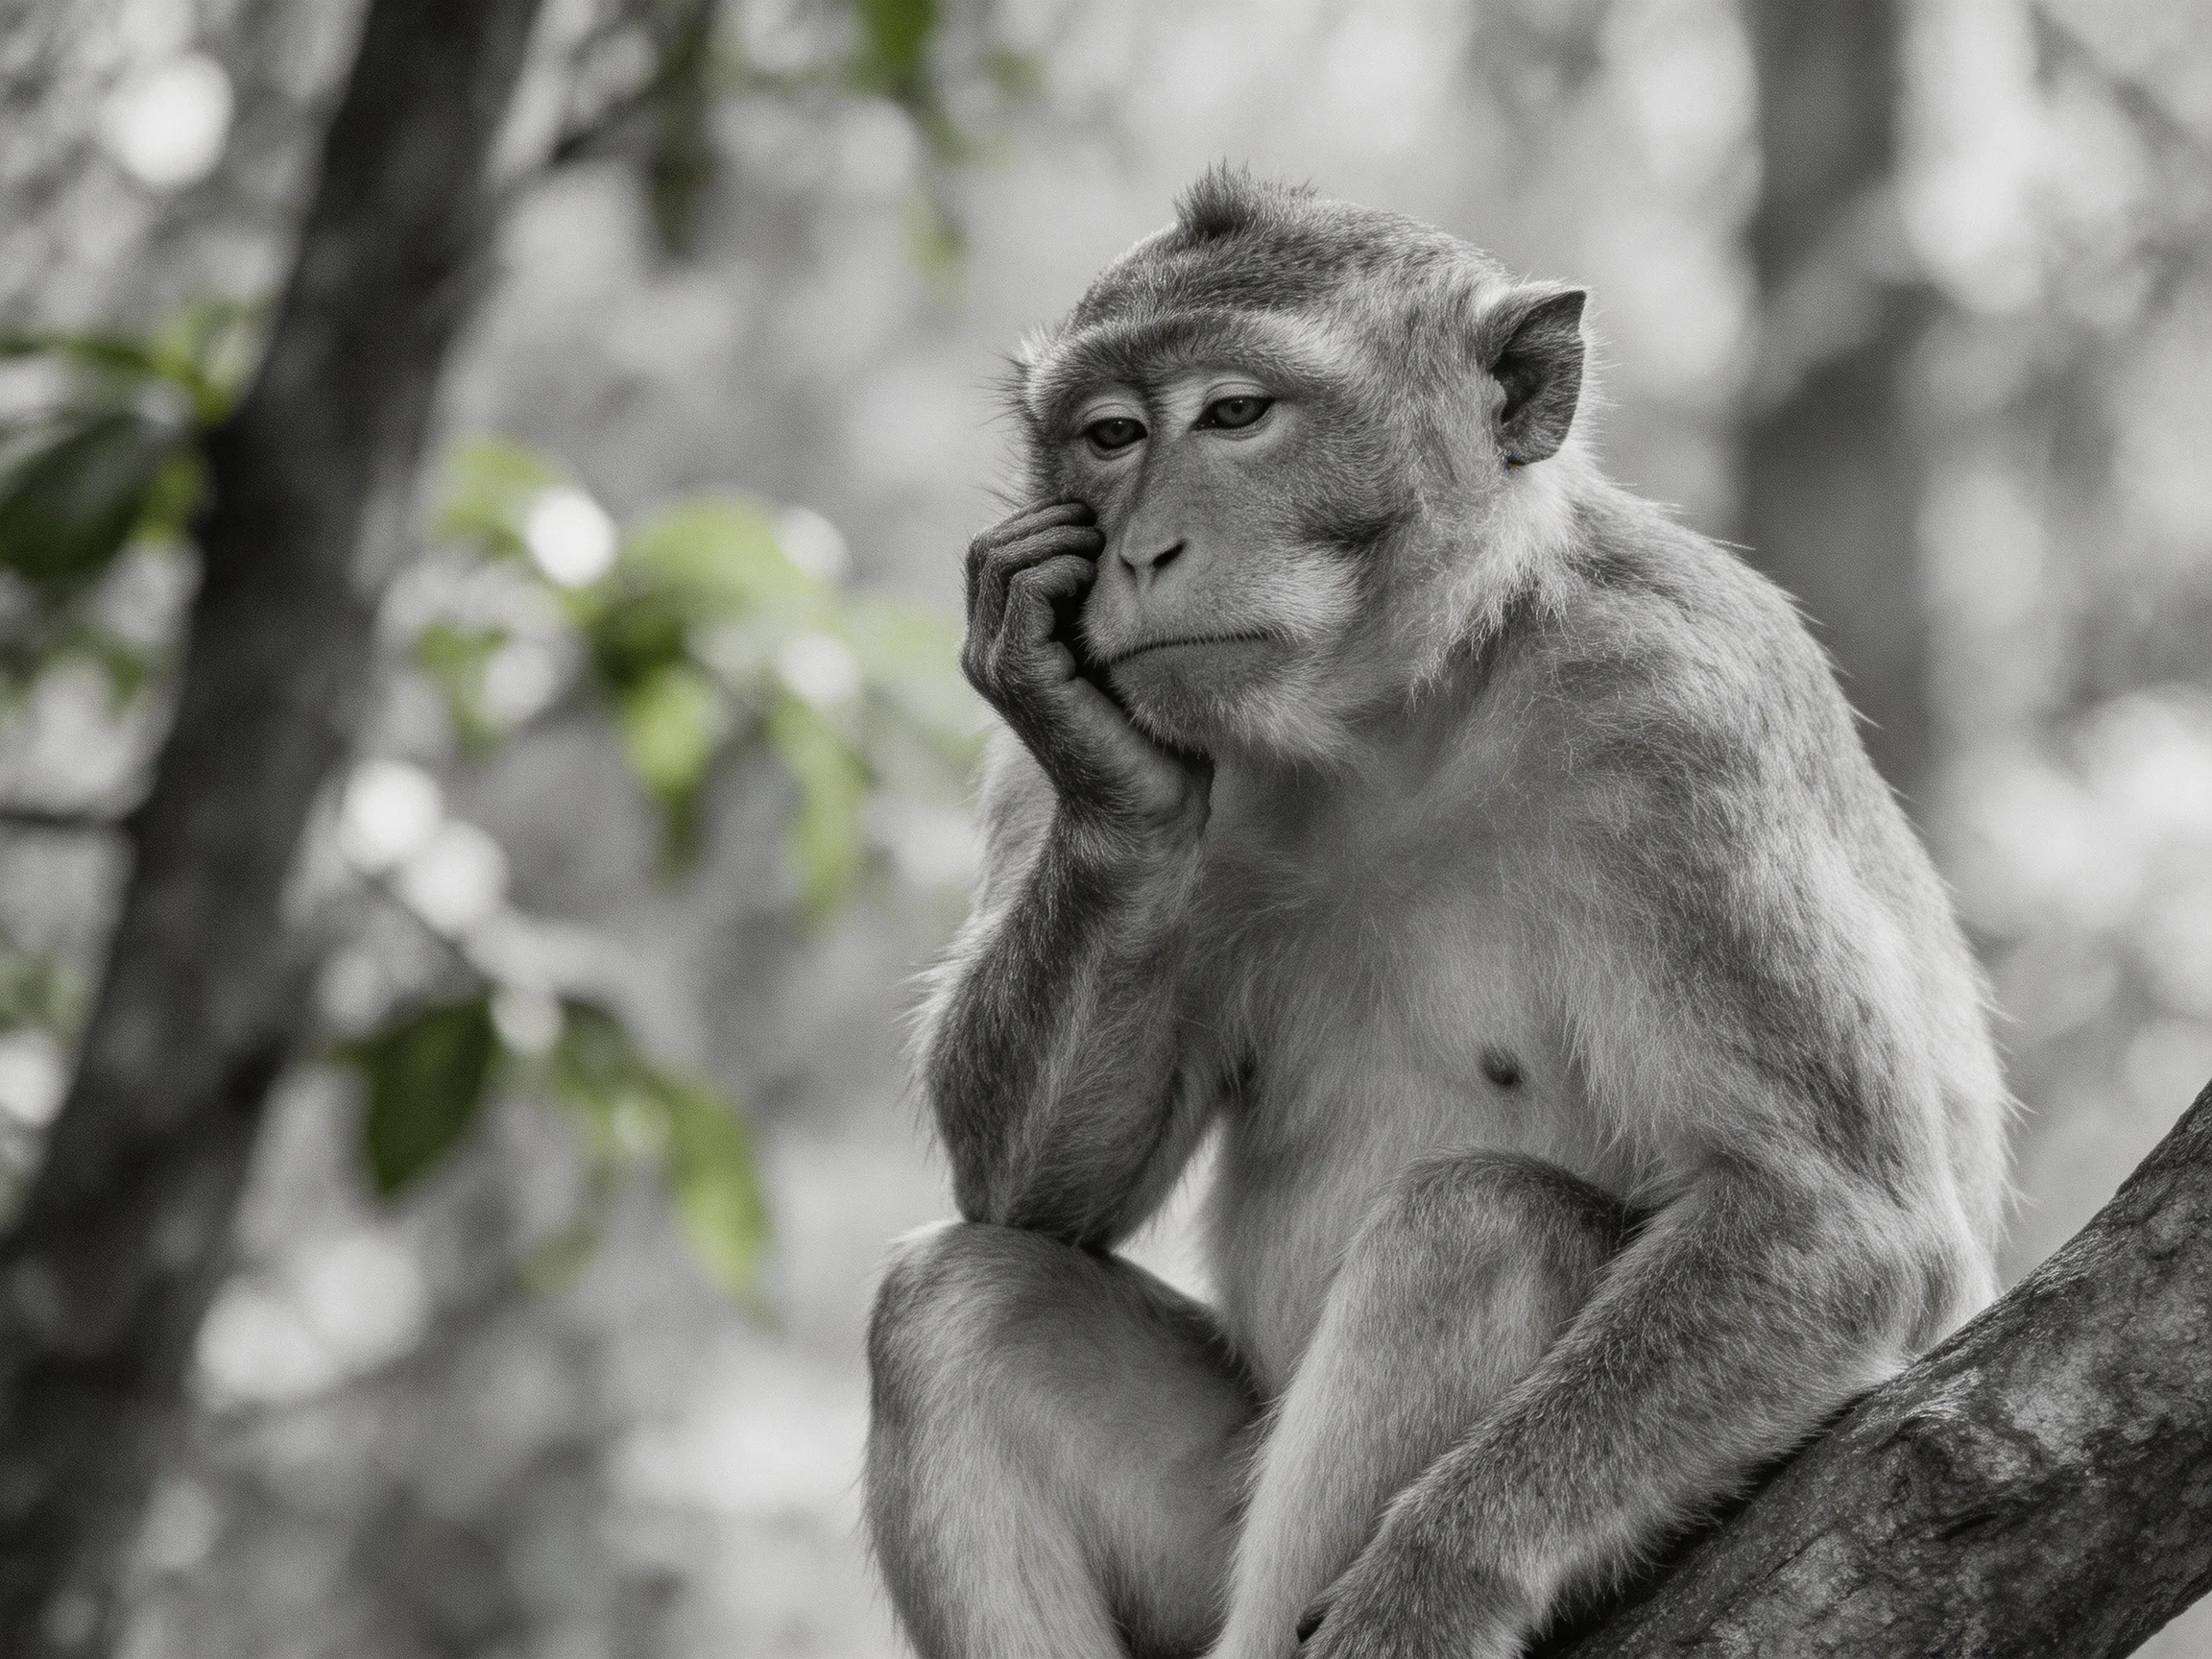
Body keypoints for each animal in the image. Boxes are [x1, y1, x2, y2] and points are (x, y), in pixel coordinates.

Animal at [863, 169, 2008, 1659]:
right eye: (1110, 436)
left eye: (1237, 415)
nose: (1144, 551)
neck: (1387, 719)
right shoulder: (1054, 761)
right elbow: (1032, 1195)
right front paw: (1107, 769)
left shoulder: (1679, 710)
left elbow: (1837, 1218)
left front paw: (1434, 1577)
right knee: (955, 1309)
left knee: (1483, 1225)